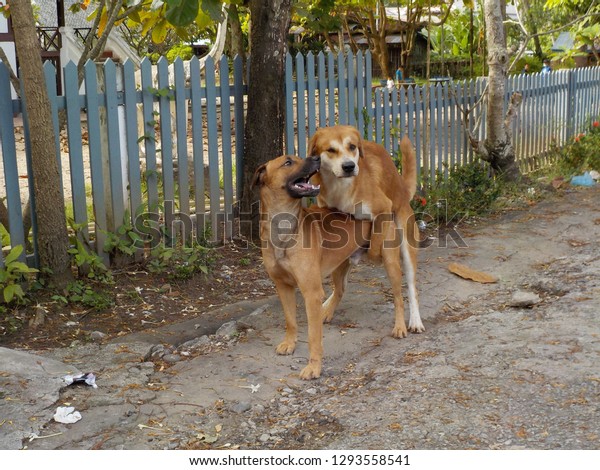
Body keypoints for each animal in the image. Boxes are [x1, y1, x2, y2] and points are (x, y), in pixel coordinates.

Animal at [253, 154, 412, 378]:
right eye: (288, 162)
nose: (316, 157)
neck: (283, 228)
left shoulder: (311, 293)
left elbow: (313, 336)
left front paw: (313, 367)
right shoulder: (283, 287)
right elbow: (290, 321)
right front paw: (290, 343)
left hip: (390, 263)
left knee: (398, 298)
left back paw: (399, 327)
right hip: (339, 266)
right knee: (340, 289)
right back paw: (326, 313)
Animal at [310, 126, 426, 334]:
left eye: (352, 146)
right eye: (330, 150)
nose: (349, 166)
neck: (340, 187)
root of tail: (403, 190)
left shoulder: (383, 209)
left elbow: (375, 244)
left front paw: (373, 254)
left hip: (404, 246)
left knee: (410, 288)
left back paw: (414, 321)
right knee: (341, 287)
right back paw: (326, 307)